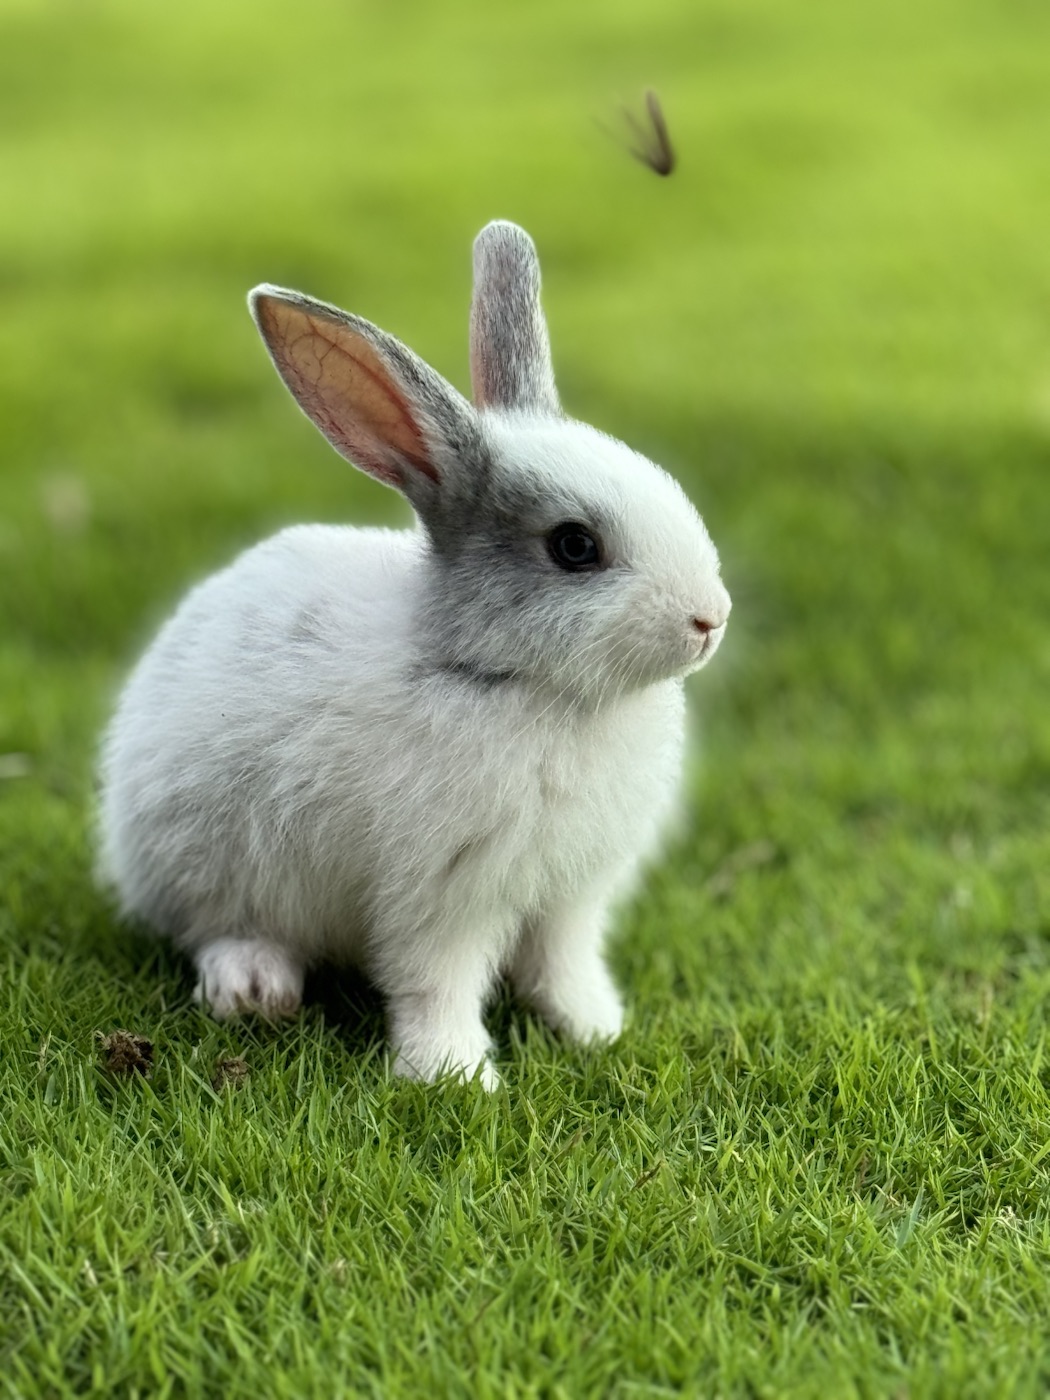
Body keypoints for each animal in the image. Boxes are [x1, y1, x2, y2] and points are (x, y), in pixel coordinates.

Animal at [97, 220, 731, 1089]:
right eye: (574, 547)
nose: (711, 618)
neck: (514, 682)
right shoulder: (441, 895)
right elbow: (438, 981)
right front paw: (456, 1075)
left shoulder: (570, 897)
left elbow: (563, 967)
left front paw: (596, 1030)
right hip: (206, 860)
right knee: (216, 928)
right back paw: (254, 989)